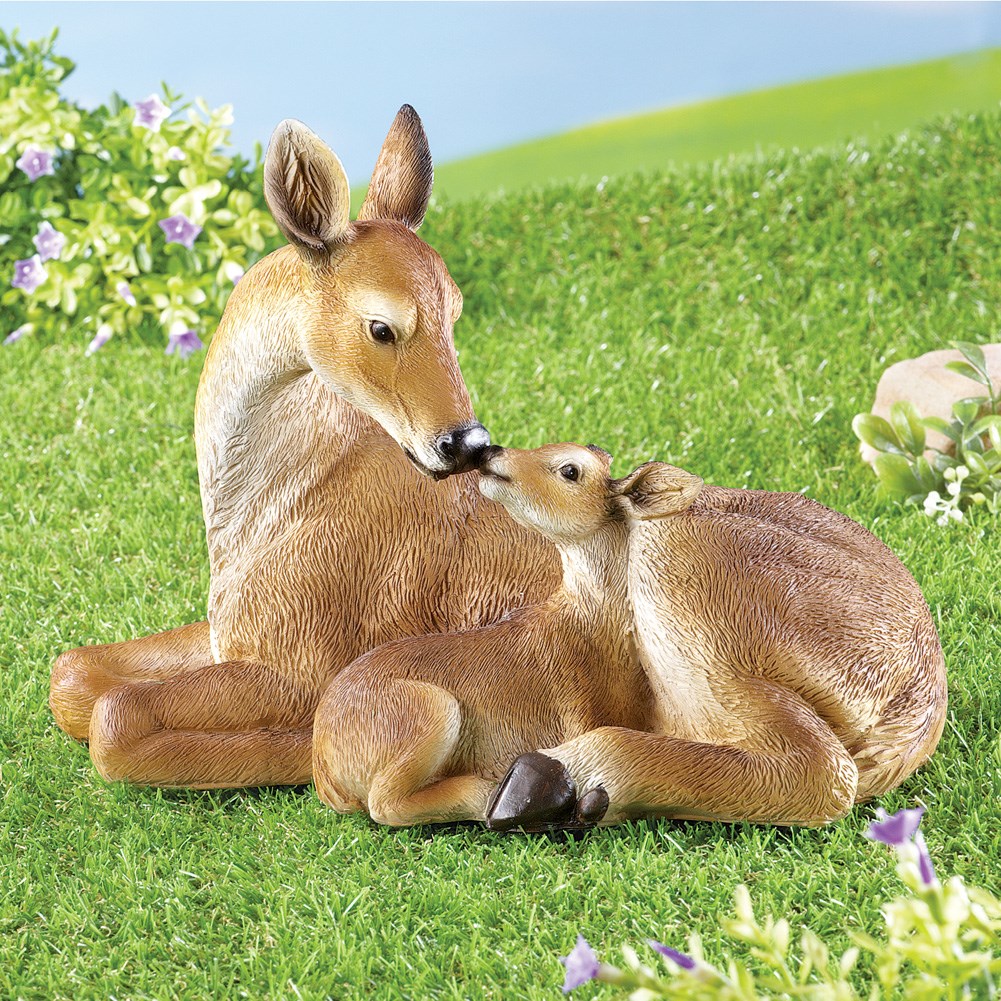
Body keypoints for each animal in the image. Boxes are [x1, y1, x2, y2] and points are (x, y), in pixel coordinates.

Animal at [48, 107, 562, 788]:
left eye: (454, 315)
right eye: (381, 325)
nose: (467, 442)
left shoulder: (301, 654)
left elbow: (116, 718)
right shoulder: (231, 631)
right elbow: (74, 673)